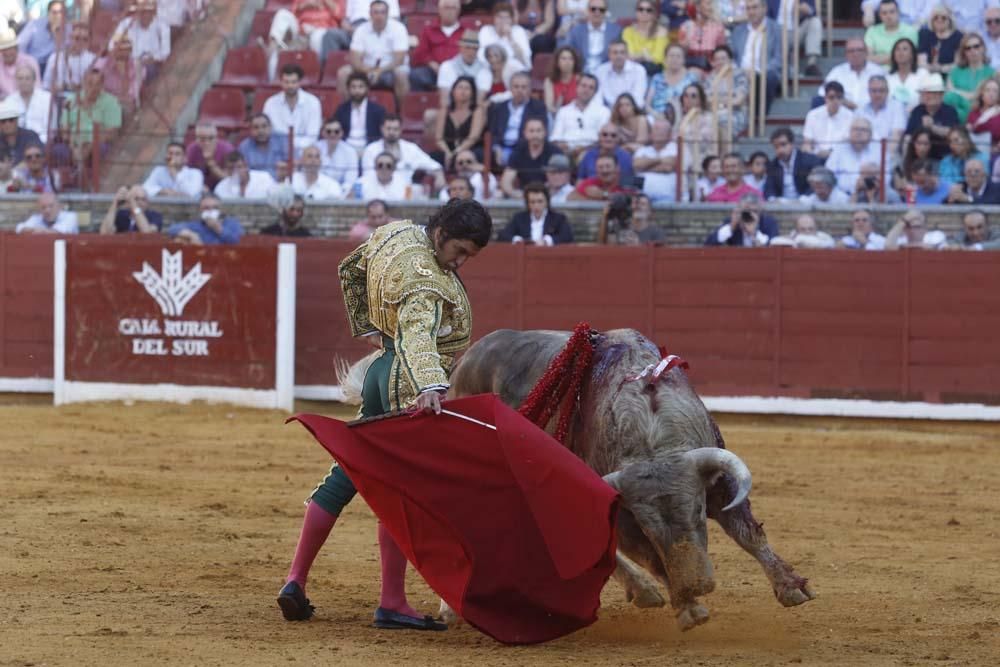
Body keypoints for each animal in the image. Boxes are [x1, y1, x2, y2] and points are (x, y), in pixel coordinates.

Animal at [442, 328, 816, 632]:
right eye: (647, 526)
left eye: (697, 511)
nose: (696, 583)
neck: (651, 438)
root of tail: (462, 364)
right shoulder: (622, 515)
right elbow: (651, 557)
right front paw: (688, 607)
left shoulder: (719, 482)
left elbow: (748, 534)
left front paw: (791, 587)